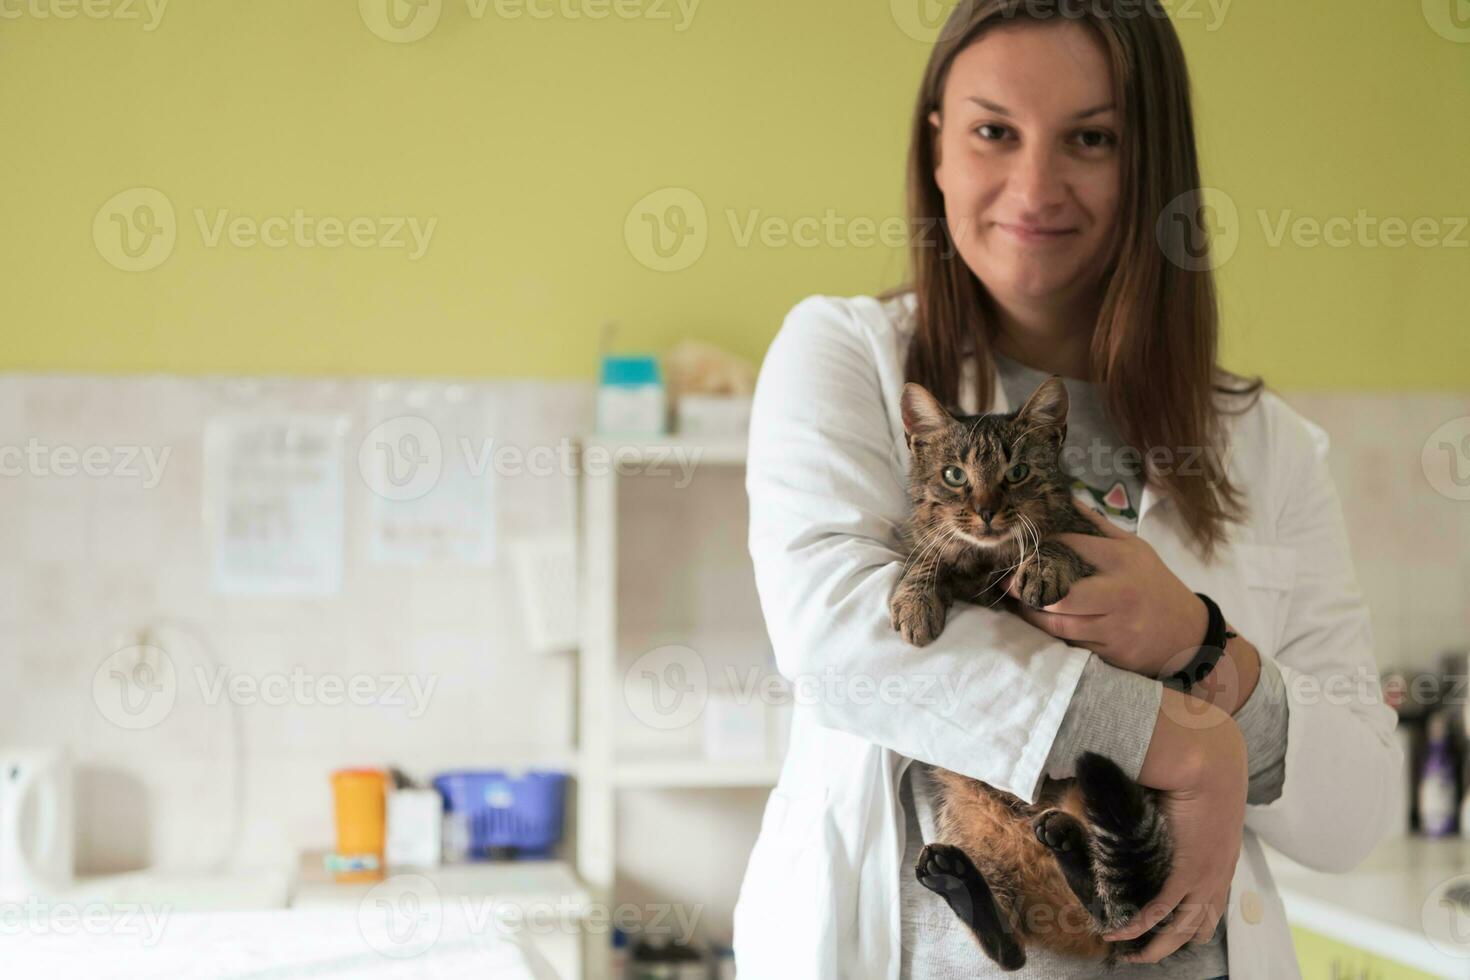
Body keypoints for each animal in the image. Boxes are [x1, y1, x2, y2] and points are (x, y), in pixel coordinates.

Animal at [882, 379, 1170, 969]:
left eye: (1016, 472)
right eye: (955, 476)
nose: (988, 511)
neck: (988, 564)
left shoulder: (1086, 547)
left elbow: (1056, 540)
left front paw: (1044, 563)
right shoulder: (921, 543)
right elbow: (923, 554)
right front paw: (916, 597)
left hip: (1138, 811)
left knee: (1119, 909)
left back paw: (1068, 849)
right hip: (962, 814)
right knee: (1010, 948)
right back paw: (962, 883)